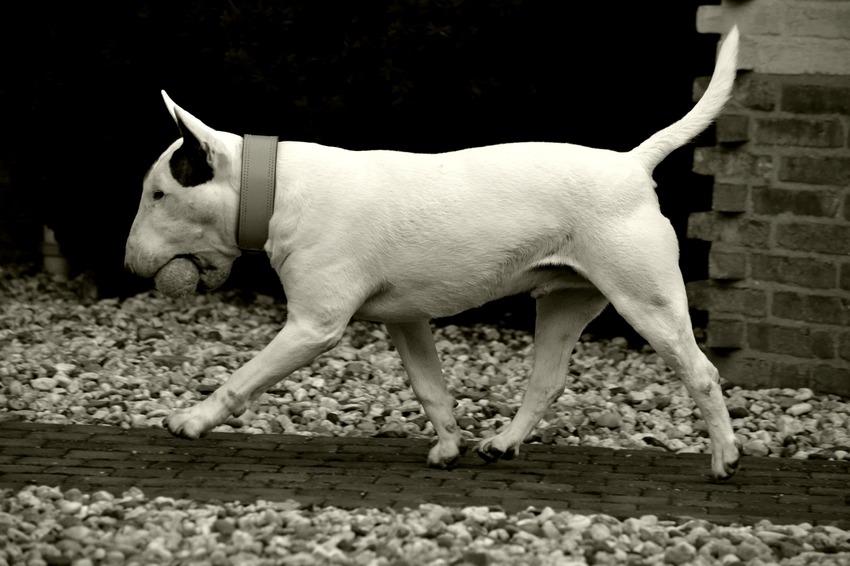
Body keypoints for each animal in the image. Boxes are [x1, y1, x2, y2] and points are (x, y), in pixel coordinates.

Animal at [125, 27, 741, 480]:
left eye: (159, 194)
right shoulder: (407, 318)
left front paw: (192, 420)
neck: (278, 188)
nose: (129, 263)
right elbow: (430, 387)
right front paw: (448, 447)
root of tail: (632, 164)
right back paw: (502, 443)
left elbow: (245, 376)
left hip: (646, 299)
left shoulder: (313, 326)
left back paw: (725, 458)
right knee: (547, 381)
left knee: (702, 371)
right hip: (566, 301)